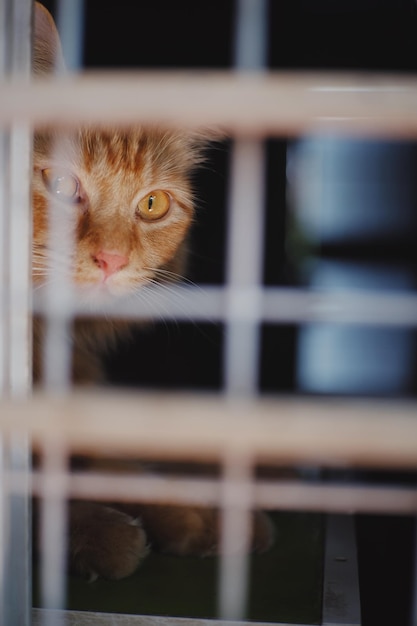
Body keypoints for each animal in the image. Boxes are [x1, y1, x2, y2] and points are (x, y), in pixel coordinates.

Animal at [32, 3, 272, 580]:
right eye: (60, 186)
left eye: (152, 205)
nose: (112, 260)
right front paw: (96, 531)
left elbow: (109, 459)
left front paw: (199, 513)